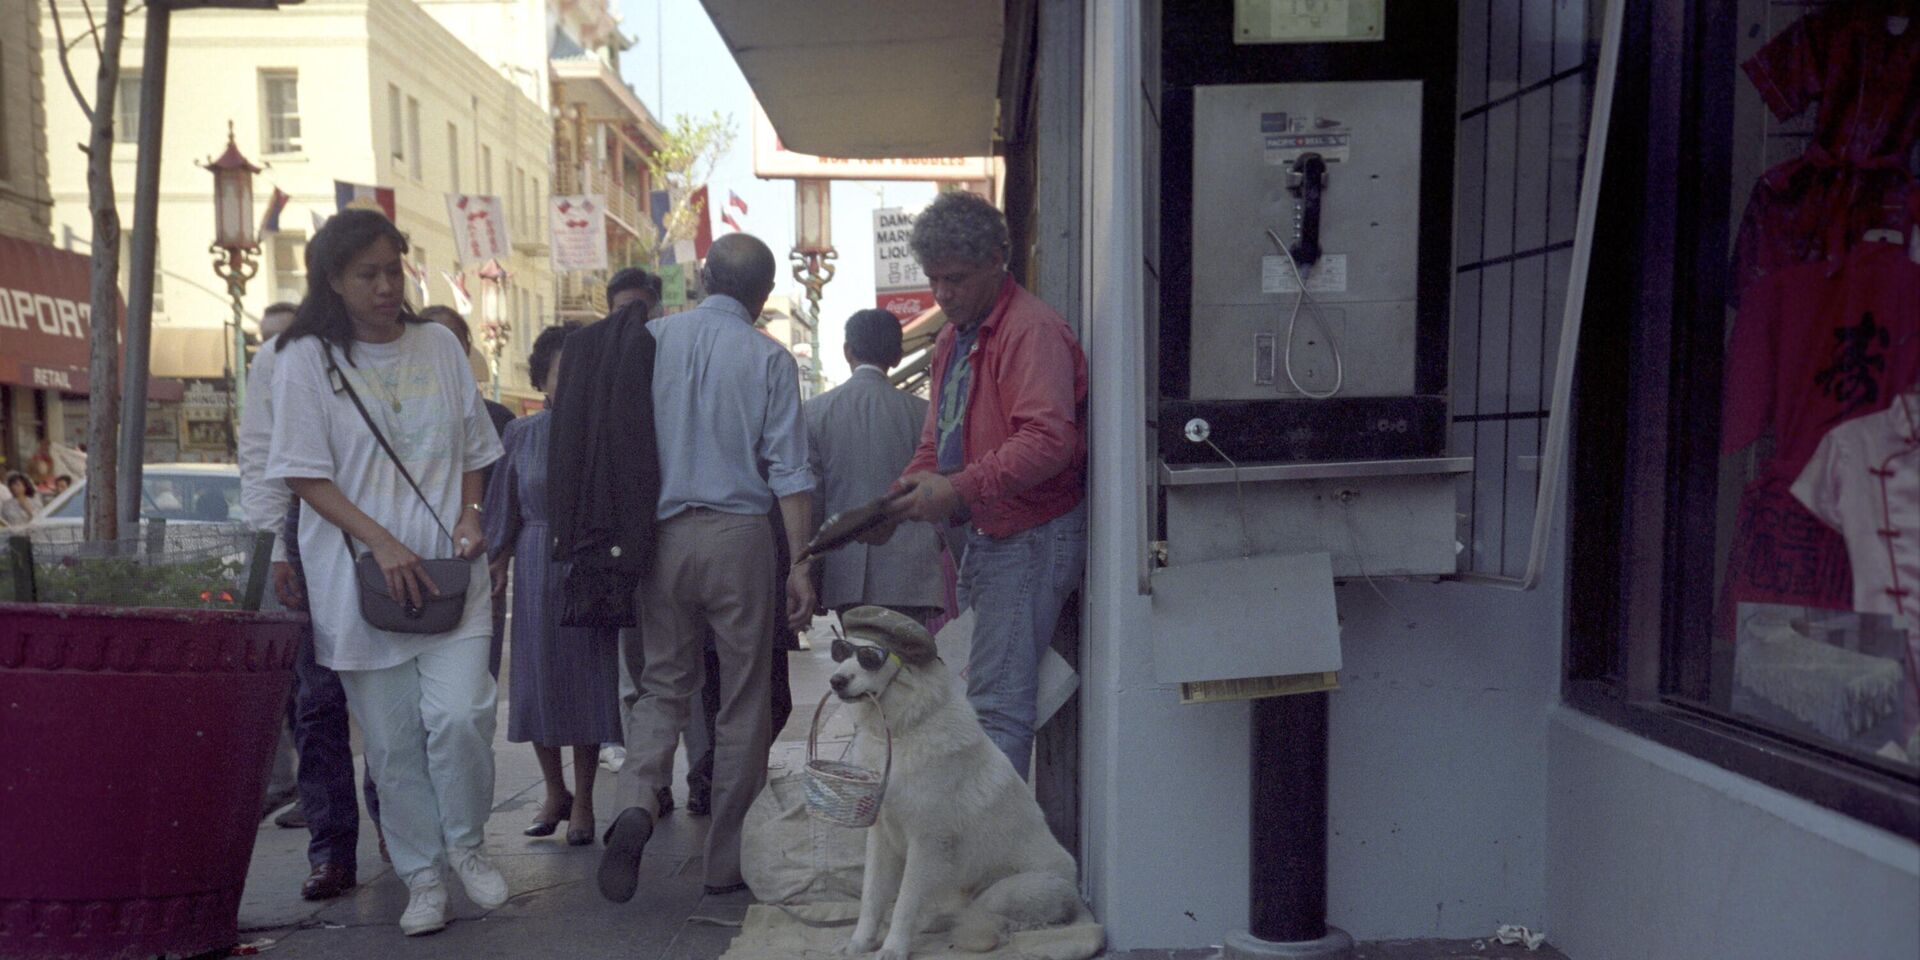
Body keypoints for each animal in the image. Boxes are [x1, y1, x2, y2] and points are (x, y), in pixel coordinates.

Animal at [825, 606, 1090, 960]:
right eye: (841, 651)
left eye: (870, 657)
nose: (836, 681)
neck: (903, 732)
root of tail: (1075, 891)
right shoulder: (881, 836)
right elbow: (872, 896)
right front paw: (860, 943)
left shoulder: (925, 843)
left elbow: (904, 901)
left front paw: (894, 948)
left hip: (1001, 893)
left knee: (987, 916)